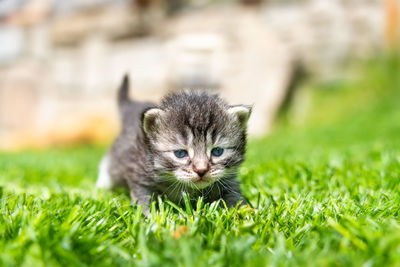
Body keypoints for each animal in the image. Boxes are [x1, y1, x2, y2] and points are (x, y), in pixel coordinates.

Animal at [97, 75, 252, 216]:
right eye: (180, 153)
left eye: (217, 151)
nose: (201, 170)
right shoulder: (138, 172)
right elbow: (144, 199)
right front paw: (149, 218)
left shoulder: (229, 180)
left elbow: (233, 196)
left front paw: (242, 213)